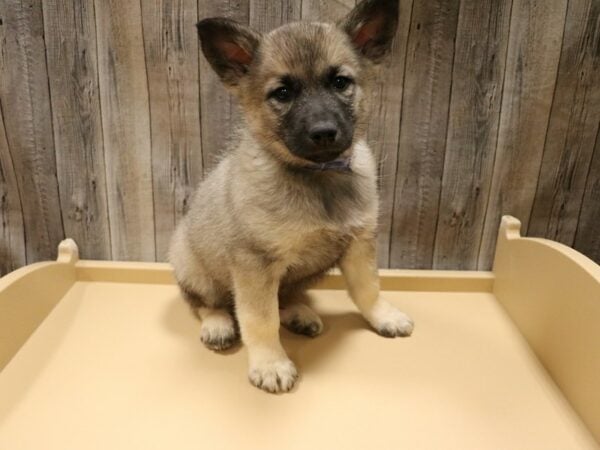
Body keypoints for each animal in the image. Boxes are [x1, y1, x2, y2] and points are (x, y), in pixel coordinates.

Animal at [169, 0, 412, 394]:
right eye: (282, 93)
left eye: (340, 82)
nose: (324, 133)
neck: (317, 176)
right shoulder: (255, 264)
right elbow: (259, 318)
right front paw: (270, 363)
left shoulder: (359, 243)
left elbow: (368, 288)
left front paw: (383, 316)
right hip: (192, 266)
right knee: (205, 302)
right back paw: (218, 323)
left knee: (284, 298)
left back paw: (298, 313)